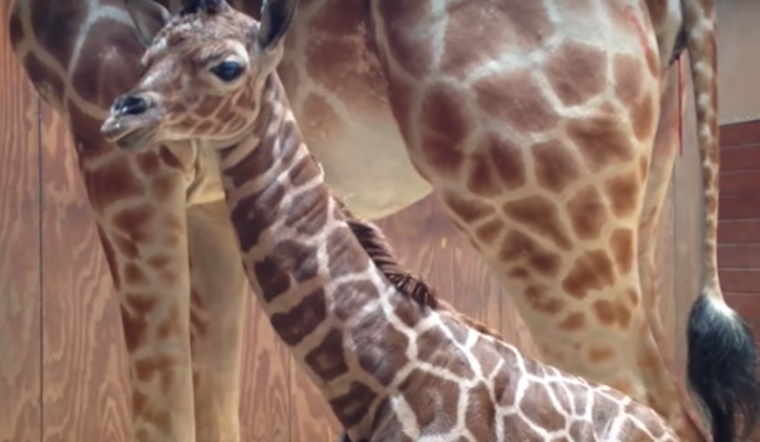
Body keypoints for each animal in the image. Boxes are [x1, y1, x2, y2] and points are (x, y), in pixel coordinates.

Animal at [8, 0, 760, 441]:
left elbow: (161, 411)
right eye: (150, 55)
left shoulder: (125, 172)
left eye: (227, 66)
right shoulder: (205, 208)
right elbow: (213, 408)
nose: (124, 113)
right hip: (644, 192)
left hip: (544, 211)